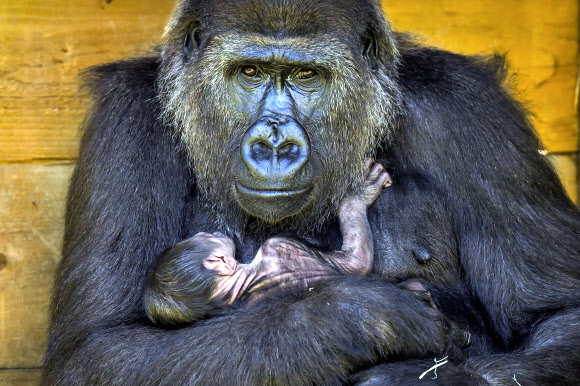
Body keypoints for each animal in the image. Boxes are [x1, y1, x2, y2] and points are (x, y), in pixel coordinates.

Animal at [143, 160, 392, 326]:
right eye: (204, 237)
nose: (211, 232)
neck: (242, 285)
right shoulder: (281, 246)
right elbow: (357, 264)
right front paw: (359, 194)